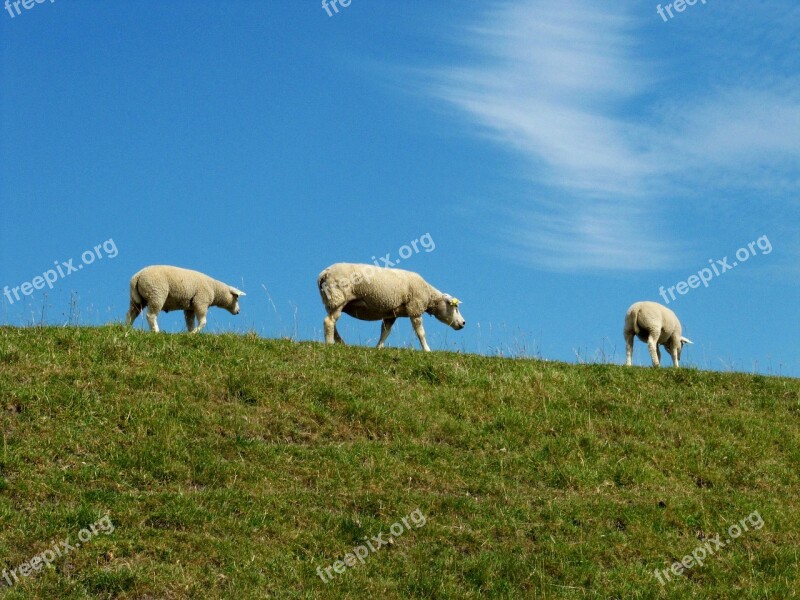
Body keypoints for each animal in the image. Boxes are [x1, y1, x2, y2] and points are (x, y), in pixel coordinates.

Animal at [318, 262, 466, 352]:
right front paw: (427, 350)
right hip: (338, 297)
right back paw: (330, 344)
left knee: (333, 323)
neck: (429, 294)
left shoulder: (391, 314)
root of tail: (323, 274)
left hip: (331, 300)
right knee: (329, 322)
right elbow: (420, 332)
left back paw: (342, 343)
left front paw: (379, 347)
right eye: (455, 307)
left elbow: (385, 332)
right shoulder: (415, 308)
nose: (464, 323)